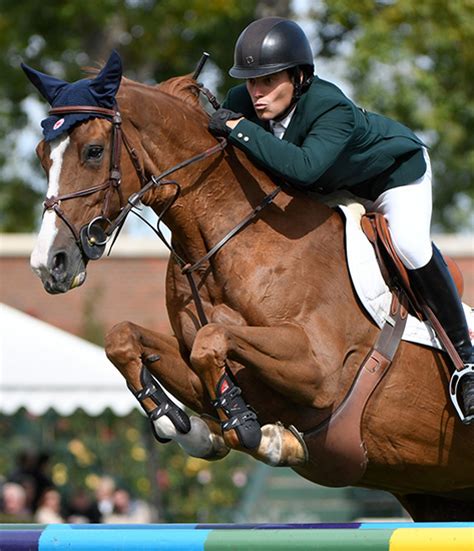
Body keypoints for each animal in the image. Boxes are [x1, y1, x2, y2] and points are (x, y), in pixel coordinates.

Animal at [26, 56, 474, 520]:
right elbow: (125, 338)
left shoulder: (321, 371)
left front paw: (260, 434)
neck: (222, 242)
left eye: (94, 151)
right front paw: (184, 424)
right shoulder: (209, 366)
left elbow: (212, 340)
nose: (49, 264)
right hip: (437, 496)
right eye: (42, 155)